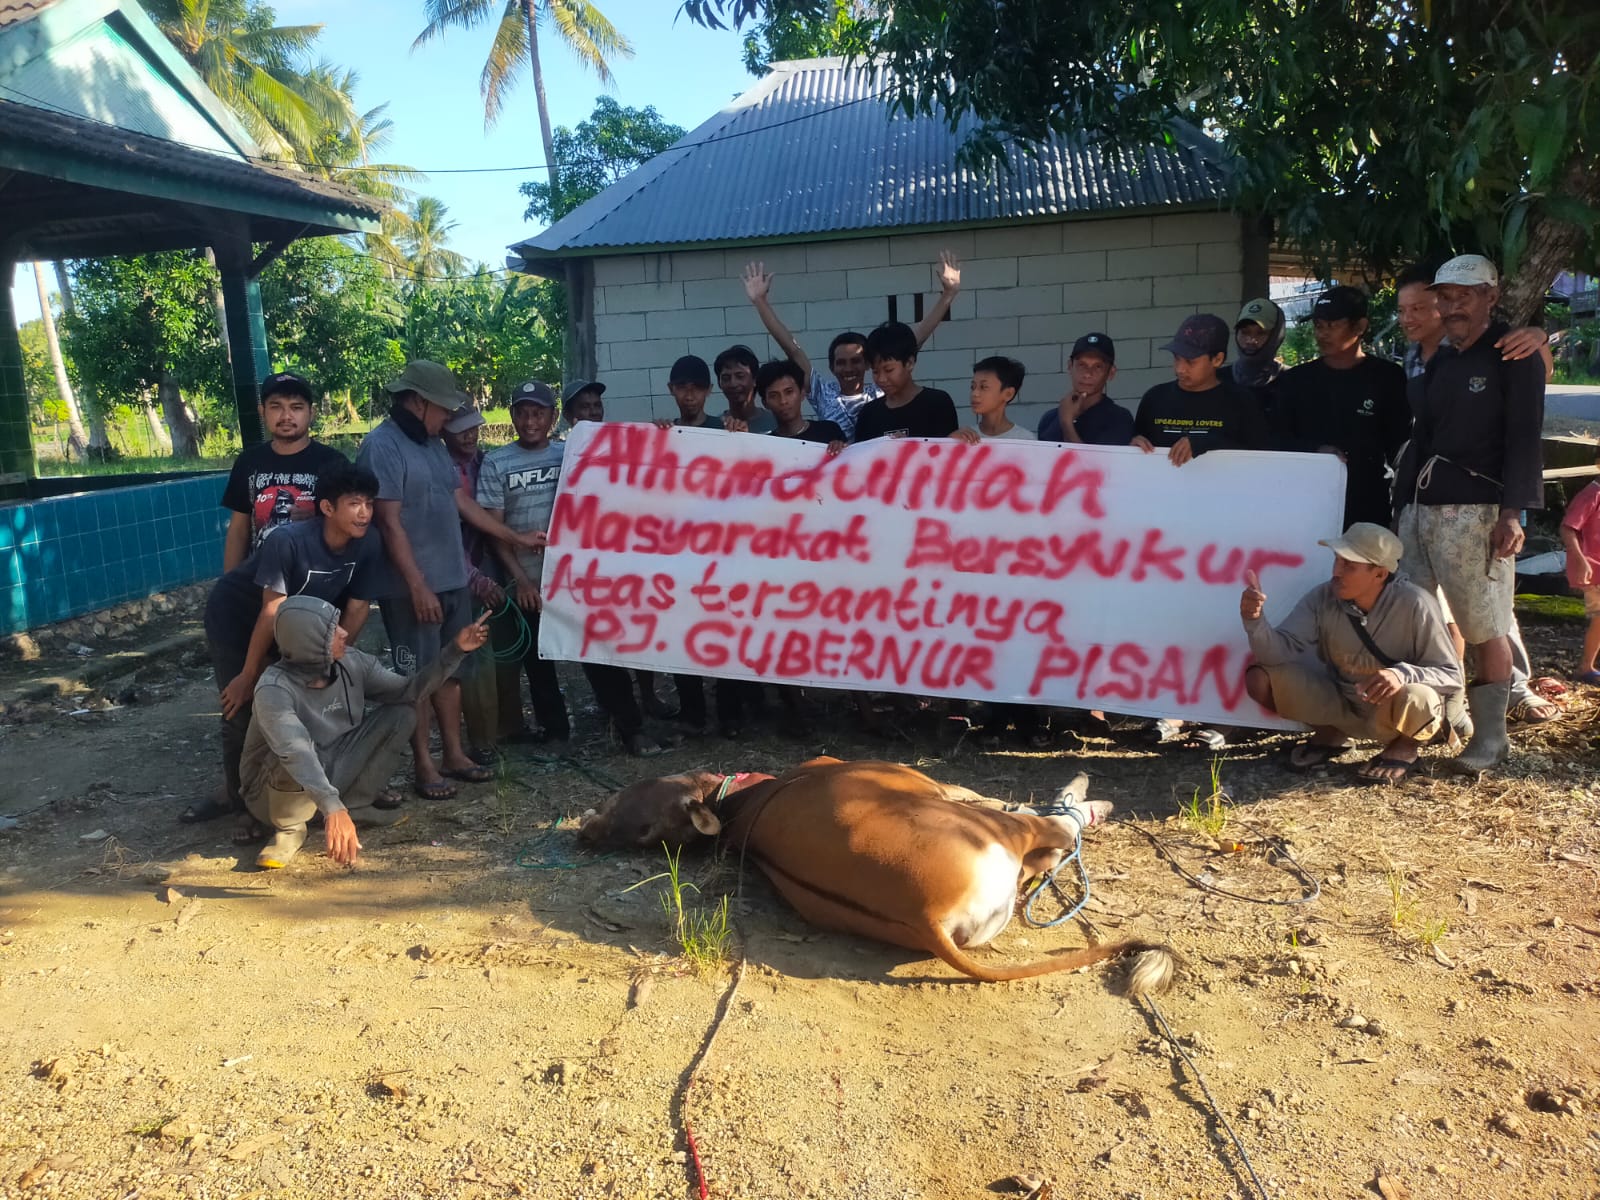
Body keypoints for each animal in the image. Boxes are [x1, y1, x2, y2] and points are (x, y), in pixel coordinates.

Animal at [576, 755, 1177, 992]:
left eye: (636, 819)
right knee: (1051, 828)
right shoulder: (928, 782)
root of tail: (928, 915)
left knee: (1044, 854)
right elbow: (977, 792)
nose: (586, 828)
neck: (741, 804)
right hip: (993, 830)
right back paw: (1083, 801)